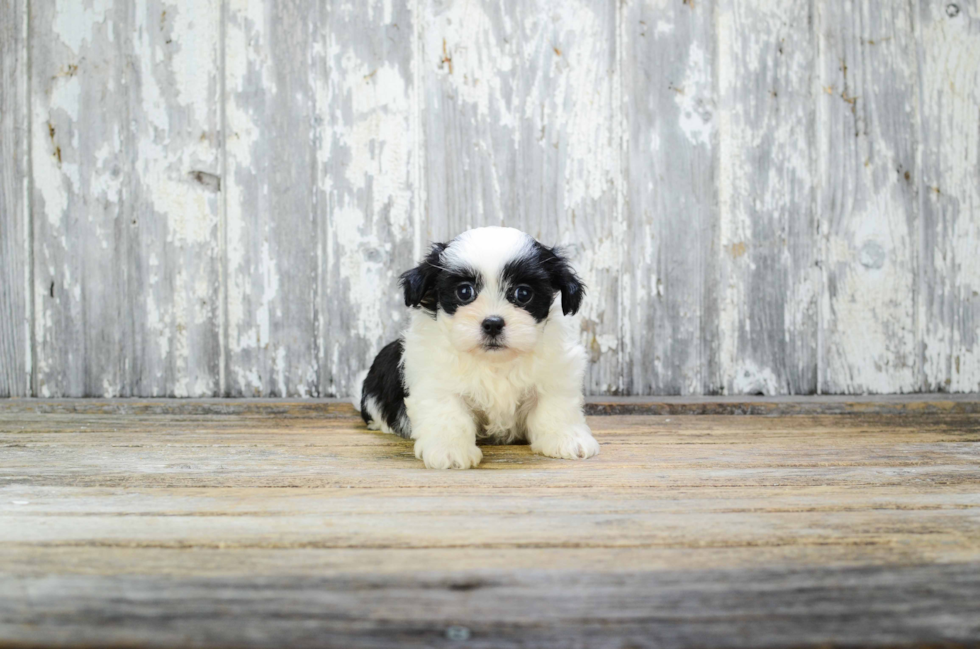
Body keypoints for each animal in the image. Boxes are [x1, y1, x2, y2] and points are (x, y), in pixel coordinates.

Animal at [352, 225, 596, 468]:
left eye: (523, 293)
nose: (493, 323)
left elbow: (555, 407)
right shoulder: (436, 379)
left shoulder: (555, 372)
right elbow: (449, 414)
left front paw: (567, 439)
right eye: (464, 292)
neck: (494, 361)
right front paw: (449, 450)